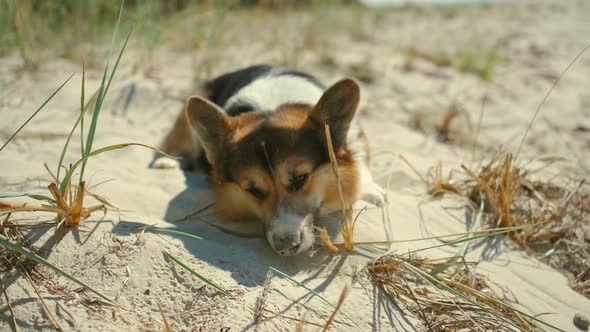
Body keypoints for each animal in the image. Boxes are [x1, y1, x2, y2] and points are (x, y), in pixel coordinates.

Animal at [154, 65, 388, 256]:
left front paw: (371, 192)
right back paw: (167, 162)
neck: (270, 106)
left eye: (300, 178)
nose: (287, 248)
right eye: (254, 190)